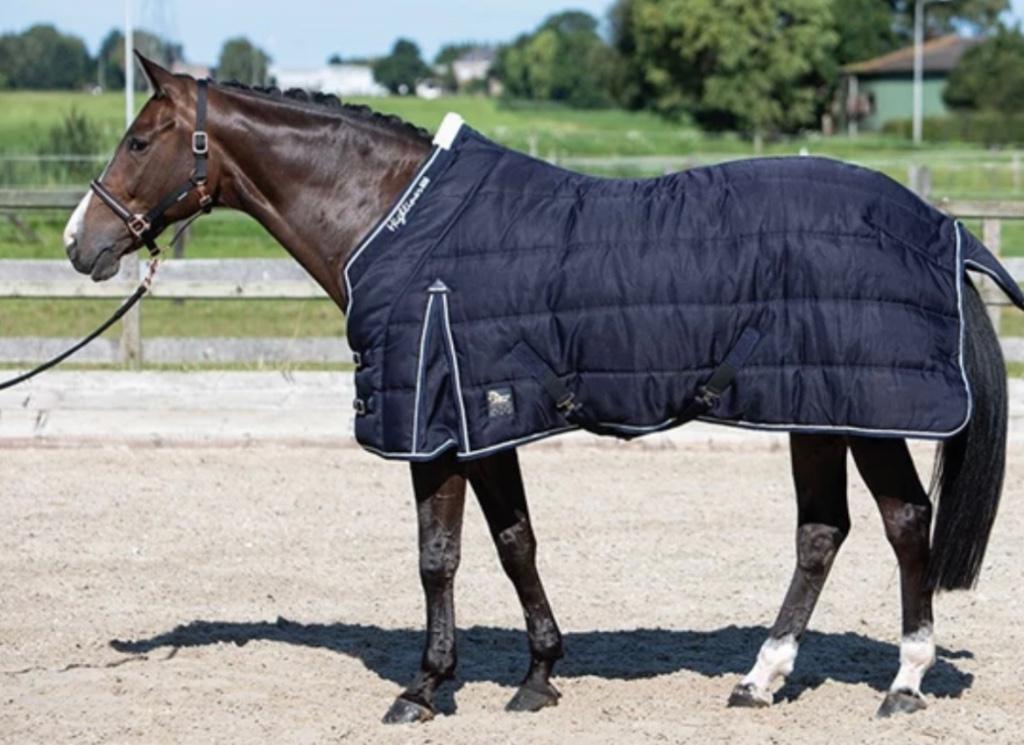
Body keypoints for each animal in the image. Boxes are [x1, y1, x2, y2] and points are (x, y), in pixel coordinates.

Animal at [62, 54, 1008, 722]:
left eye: (139, 140)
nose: (80, 241)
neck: (394, 220)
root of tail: (942, 227)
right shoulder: (482, 420)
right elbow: (514, 540)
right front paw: (539, 673)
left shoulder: (434, 424)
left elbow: (438, 556)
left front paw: (423, 688)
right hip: (816, 408)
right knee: (823, 532)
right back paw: (761, 678)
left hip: (864, 410)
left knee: (903, 521)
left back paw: (904, 681)